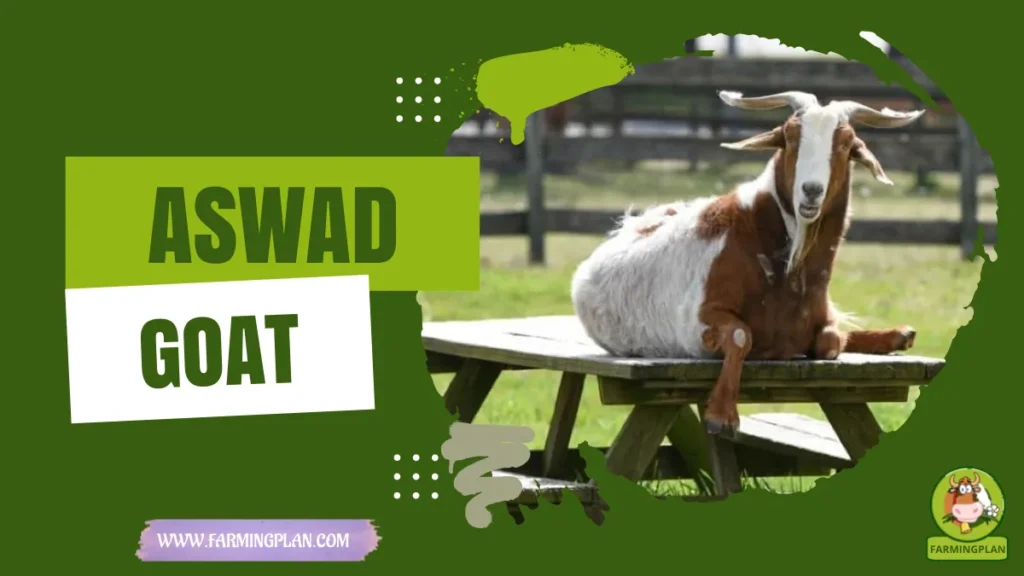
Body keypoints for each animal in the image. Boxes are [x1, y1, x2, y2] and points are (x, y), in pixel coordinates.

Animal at [570, 90, 925, 436]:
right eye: (789, 136)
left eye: (847, 143)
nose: (811, 191)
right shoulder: (697, 322)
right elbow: (743, 335)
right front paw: (722, 416)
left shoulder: (819, 321)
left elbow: (830, 340)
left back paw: (900, 334)